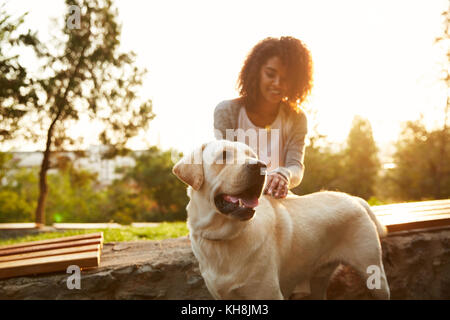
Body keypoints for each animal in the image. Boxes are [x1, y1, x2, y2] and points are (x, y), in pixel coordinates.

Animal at [172, 140, 390, 300]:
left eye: (254, 156)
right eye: (223, 155)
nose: (260, 166)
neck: (223, 237)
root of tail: (353, 198)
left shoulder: (268, 293)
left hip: (374, 275)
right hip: (319, 278)